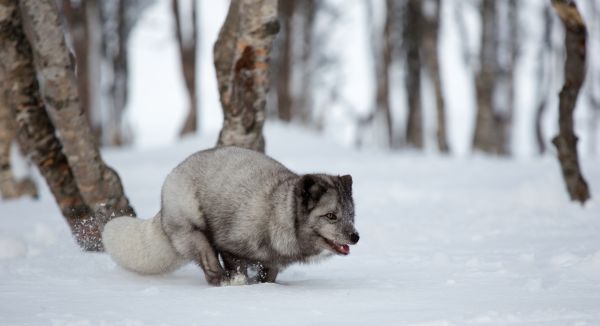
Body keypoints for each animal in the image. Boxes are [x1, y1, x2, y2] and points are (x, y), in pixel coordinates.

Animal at [101, 146, 358, 286]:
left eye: (351, 215)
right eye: (331, 216)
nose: (355, 237)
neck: (277, 213)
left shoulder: (273, 261)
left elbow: (270, 275)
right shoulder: (230, 244)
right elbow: (236, 265)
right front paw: (241, 283)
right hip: (195, 233)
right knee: (209, 267)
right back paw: (224, 280)